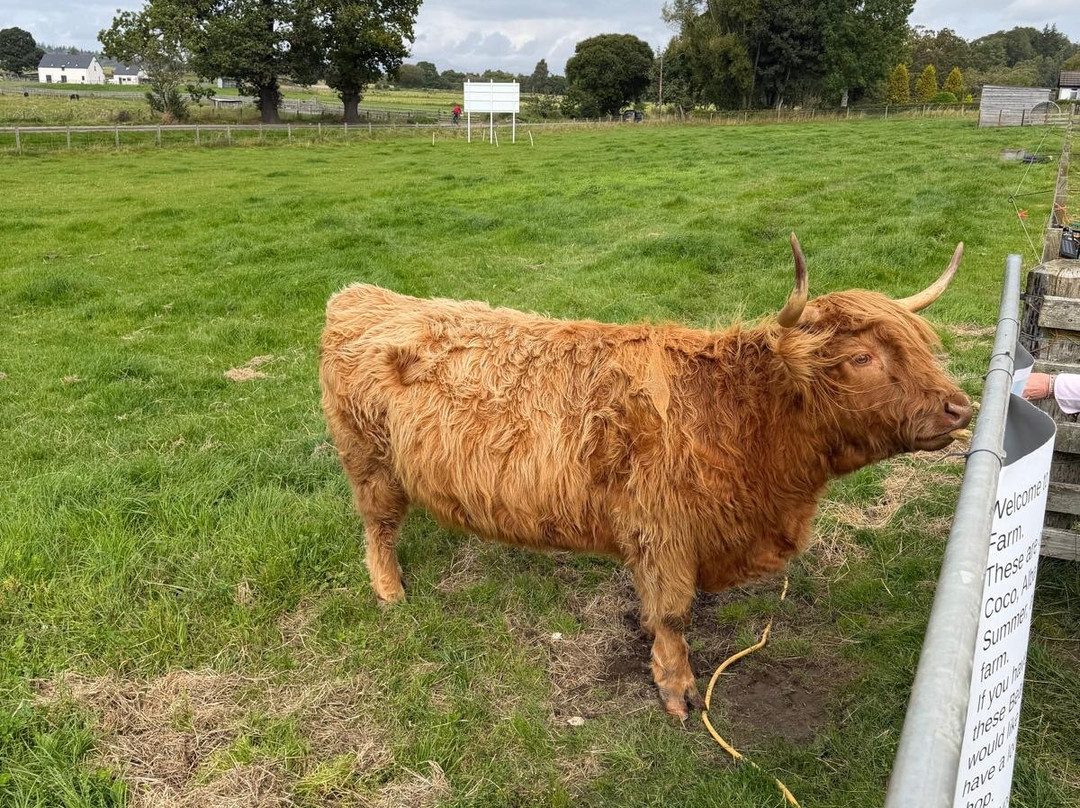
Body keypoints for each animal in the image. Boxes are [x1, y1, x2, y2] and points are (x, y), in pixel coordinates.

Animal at [319, 235, 972, 718]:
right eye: (862, 358)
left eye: (920, 347)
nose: (959, 408)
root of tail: (359, 297)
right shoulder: (662, 534)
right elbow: (672, 614)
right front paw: (677, 690)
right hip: (369, 462)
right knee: (377, 528)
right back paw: (391, 592)